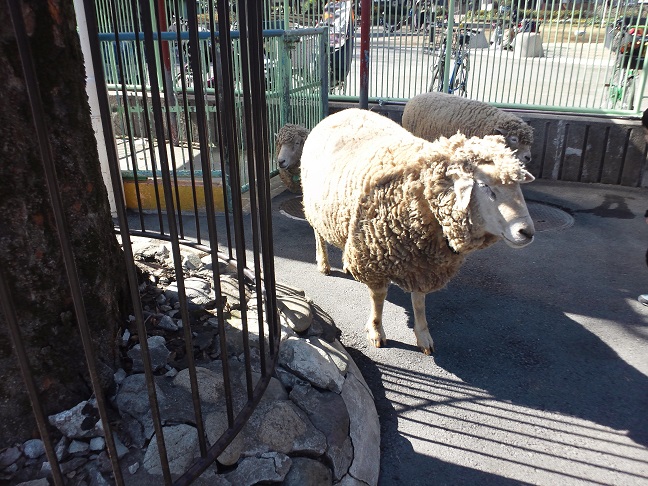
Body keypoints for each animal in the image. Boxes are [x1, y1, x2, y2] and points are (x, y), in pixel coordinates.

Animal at [302, 109, 536, 354]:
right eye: (485, 186)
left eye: (518, 185)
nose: (527, 232)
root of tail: (341, 112)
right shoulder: (373, 256)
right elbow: (378, 298)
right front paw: (376, 331)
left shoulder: (424, 262)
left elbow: (419, 301)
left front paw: (423, 335)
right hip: (314, 208)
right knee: (318, 236)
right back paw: (324, 264)